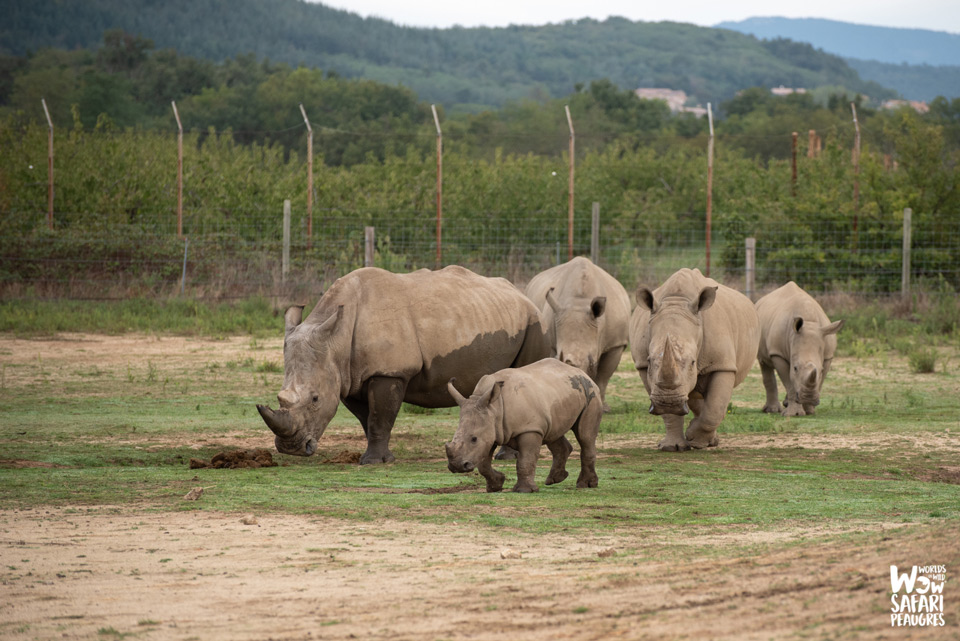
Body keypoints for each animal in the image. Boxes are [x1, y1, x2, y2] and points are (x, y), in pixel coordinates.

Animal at [256, 264, 548, 464]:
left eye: (315, 399)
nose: (291, 449)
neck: (335, 341)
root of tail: (520, 292)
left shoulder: (389, 372)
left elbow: (379, 416)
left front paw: (373, 462)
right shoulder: (348, 376)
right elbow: (368, 418)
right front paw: (381, 457)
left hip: (534, 321)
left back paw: (506, 458)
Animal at [444, 360, 600, 490]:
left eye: (473, 439)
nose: (456, 466)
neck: (494, 407)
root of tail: (581, 372)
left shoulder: (529, 429)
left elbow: (526, 459)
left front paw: (524, 490)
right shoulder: (491, 430)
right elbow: (483, 464)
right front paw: (496, 486)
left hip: (590, 392)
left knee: (585, 436)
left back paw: (585, 485)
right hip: (559, 395)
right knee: (553, 433)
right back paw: (555, 480)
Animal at [524, 255, 632, 410]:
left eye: (592, 362)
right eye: (559, 356)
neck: (580, 302)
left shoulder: (616, 343)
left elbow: (604, 376)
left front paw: (603, 408)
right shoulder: (553, 343)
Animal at [632, 268, 764, 452]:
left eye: (693, 362)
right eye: (650, 361)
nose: (668, 401)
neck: (677, 300)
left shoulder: (723, 364)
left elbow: (715, 408)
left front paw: (695, 440)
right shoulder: (643, 366)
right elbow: (670, 412)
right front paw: (672, 446)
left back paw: (707, 440)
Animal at [752, 280, 844, 416]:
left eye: (821, 369)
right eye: (795, 368)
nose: (808, 397)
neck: (810, 322)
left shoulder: (828, 355)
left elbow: (819, 381)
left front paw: (809, 410)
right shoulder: (778, 353)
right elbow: (789, 383)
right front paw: (792, 414)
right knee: (764, 363)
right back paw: (771, 410)